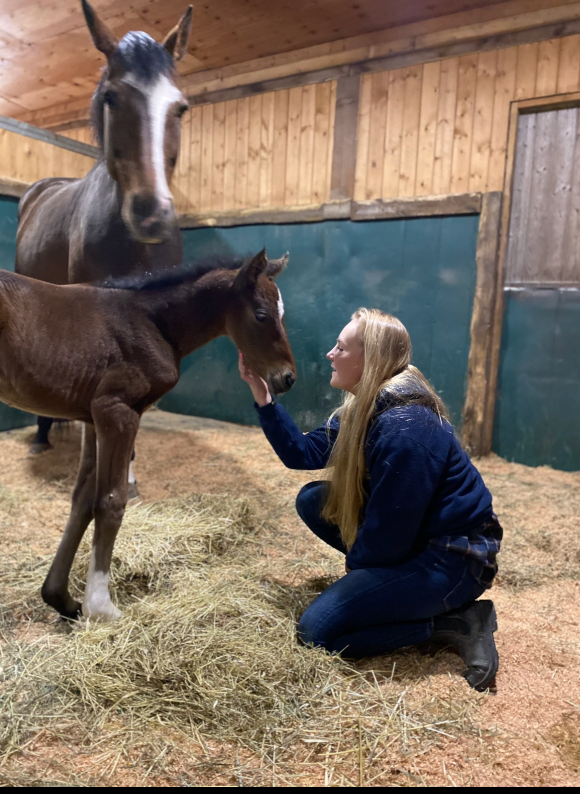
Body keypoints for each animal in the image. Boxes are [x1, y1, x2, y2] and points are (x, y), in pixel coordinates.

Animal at [0, 250, 296, 622]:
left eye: (283, 314)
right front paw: (102, 607)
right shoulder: (118, 411)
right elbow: (112, 501)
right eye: (261, 315)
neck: (152, 323)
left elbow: (82, 500)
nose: (287, 378)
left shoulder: (92, 418)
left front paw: (61, 598)